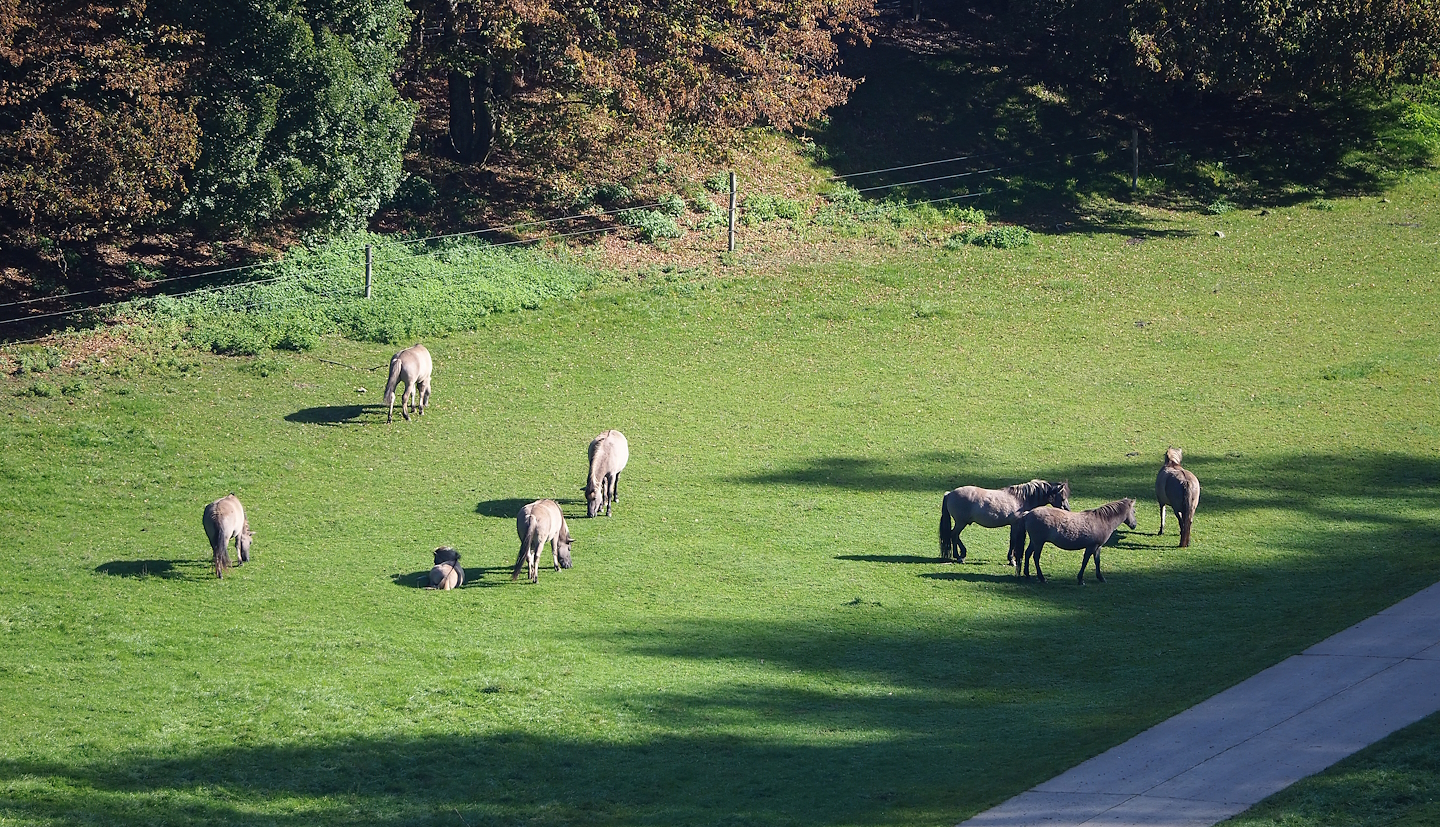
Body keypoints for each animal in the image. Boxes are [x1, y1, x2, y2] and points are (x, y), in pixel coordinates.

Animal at [939, 479, 1070, 565]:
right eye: (1062, 497)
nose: (1067, 510)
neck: (1020, 499)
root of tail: (949, 493)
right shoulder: (1015, 524)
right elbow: (1013, 540)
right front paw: (1012, 560)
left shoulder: (1013, 525)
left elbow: (1012, 540)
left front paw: (1010, 558)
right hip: (961, 523)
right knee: (954, 535)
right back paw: (959, 556)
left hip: (961, 523)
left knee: (954, 535)